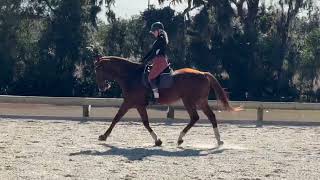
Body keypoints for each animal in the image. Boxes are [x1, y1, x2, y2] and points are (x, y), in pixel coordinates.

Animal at [94, 56, 239, 146]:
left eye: (97, 70)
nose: (102, 87)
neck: (131, 75)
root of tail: (203, 73)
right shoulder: (137, 104)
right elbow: (141, 121)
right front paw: (157, 141)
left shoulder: (131, 103)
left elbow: (118, 118)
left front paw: (103, 136)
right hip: (201, 101)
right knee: (211, 116)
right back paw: (219, 140)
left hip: (189, 101)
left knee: (195, 117)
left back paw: (180, 138)